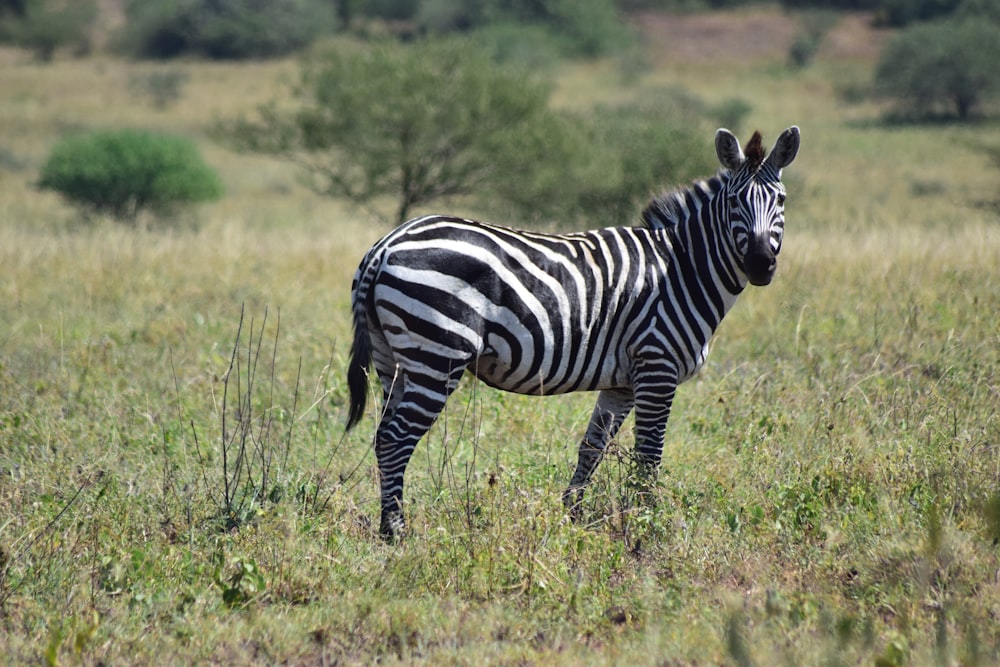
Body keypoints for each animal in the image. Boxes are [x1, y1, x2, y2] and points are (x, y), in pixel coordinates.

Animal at [348, 126, 800, 544]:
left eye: (780, 201)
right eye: (734, 202)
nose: (761, 264)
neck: (684, 268)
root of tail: (385, 245)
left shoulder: (623, 383)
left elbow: (593, 447)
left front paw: (573, 515)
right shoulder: (657, 365)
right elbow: (648, 455)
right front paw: (649, 525)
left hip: (394, 361)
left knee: (382, 438)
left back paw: (388, 526)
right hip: (437, 356)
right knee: (396, 439)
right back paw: (397, 532)